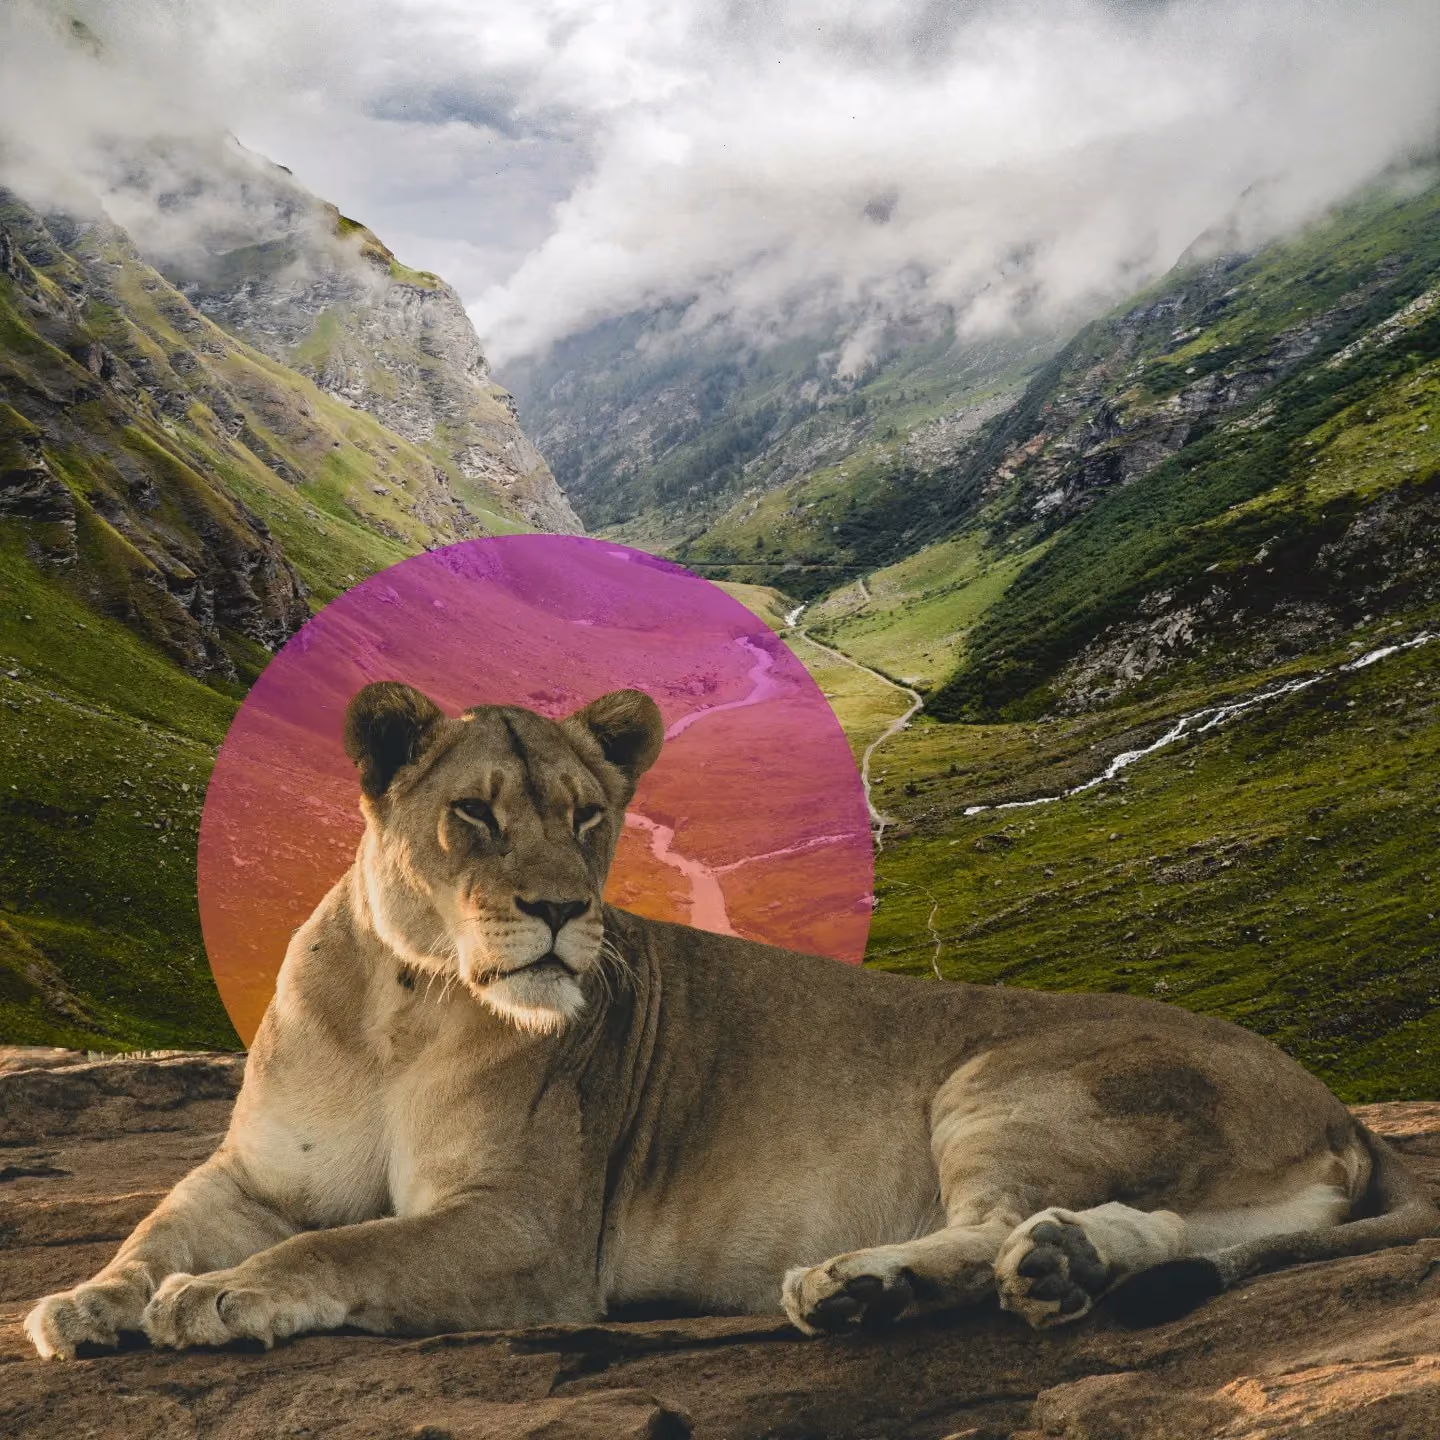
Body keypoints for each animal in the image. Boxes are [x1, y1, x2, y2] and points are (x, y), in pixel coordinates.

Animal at [26, 682, 1437, 1359]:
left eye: (589, 816)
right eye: (474, 815)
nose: (560, 909)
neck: (402, 1002)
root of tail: (1340, 1108)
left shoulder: (531, 1233)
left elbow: (347, 1248)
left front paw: (224, 1300)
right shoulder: (252, 1173)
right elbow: (157, 1231)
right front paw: (81, 1305)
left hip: (1003, 1079)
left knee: (990, 1224)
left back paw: (863, 1287)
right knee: (1142, 1233)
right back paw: (1056, 1270)